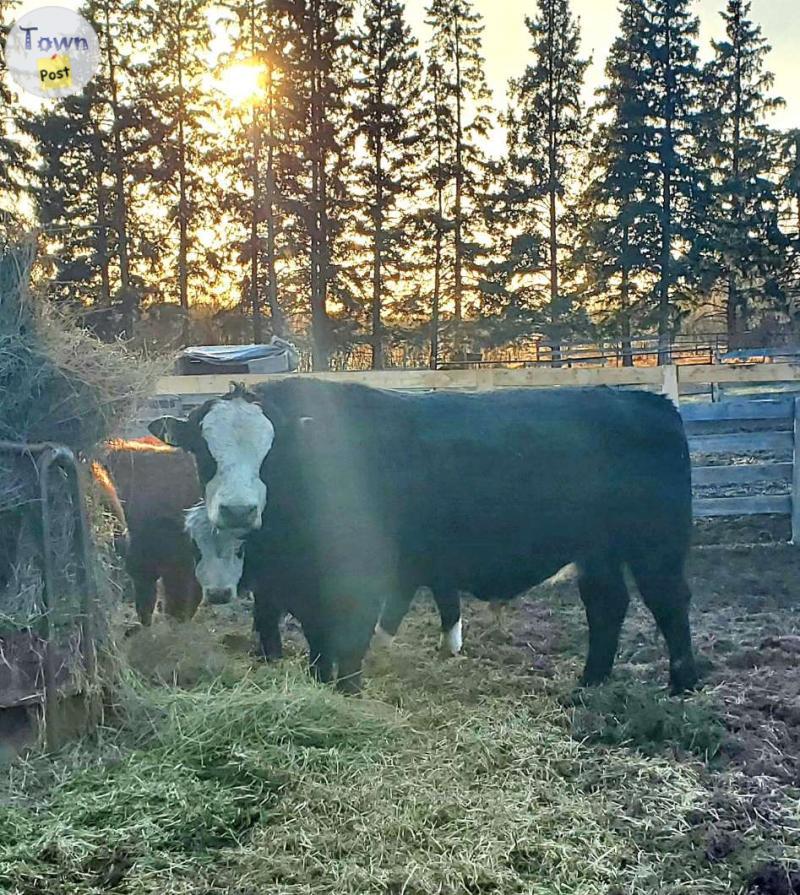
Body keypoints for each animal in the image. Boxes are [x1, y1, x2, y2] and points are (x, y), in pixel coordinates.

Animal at [148, 382, 692, 696]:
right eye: (204, 448)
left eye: (272, 449)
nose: (238, 509)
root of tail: (646, 399)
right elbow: (318, 644)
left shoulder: (362, 579)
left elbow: (349, 644)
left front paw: (347, 693)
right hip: (598, 550)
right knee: (607, 604)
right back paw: (591, 680)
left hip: (656, 545)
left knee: (669, 603)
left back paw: (681, 683)